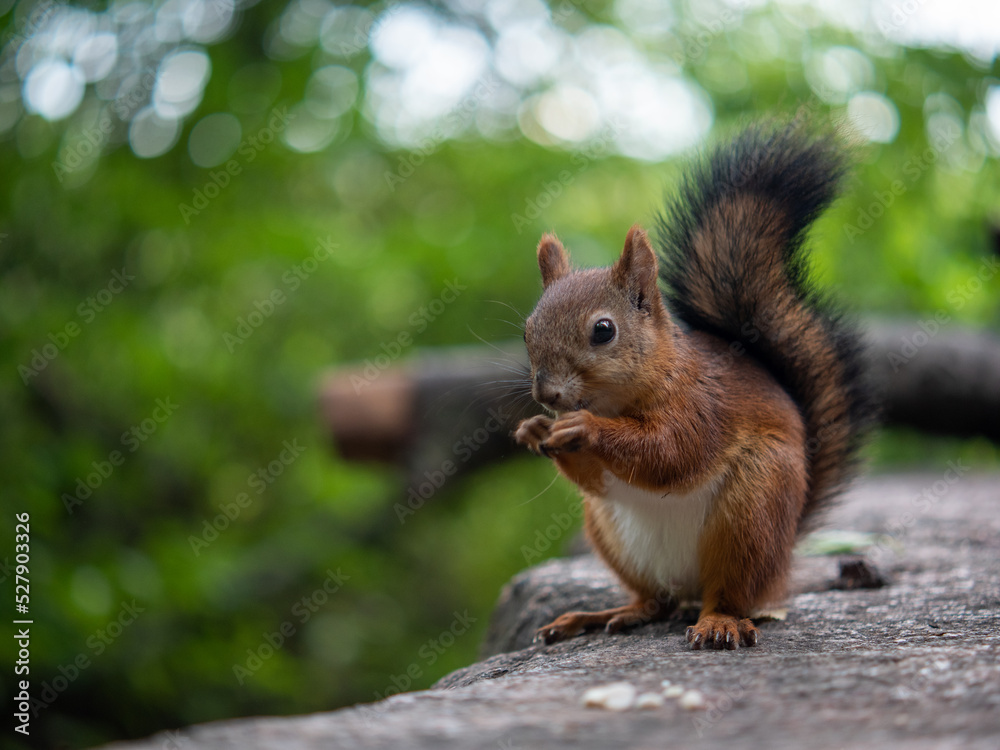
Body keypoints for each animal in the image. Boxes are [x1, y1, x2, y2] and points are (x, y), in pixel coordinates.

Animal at [513, 122, 873, 650]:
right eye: (527, 329)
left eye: (603, 330)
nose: (548, 396)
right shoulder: (603, 481)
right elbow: (598, 478)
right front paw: (536, 430)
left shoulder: (702, 404)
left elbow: (670, 453)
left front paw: (584, 427)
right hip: (611, 533)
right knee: (654, 601)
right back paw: (603, 614)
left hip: (753, 511)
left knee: (730, 593)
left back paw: (719, 621)